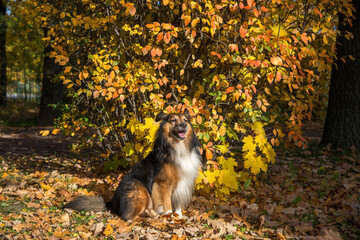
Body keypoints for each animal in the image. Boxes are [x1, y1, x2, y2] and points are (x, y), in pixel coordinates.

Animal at [62, 109, 202, 219]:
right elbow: (167, 204)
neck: (178, 147)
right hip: (139, 188)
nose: (183, 125)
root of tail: (112, 203)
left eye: (185, 120)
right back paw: (150, 215)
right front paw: (170, 218)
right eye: (173, 120)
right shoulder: (162, 183)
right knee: (129, 216)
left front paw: (178, 216)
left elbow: (177, 204)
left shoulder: (182, 181)